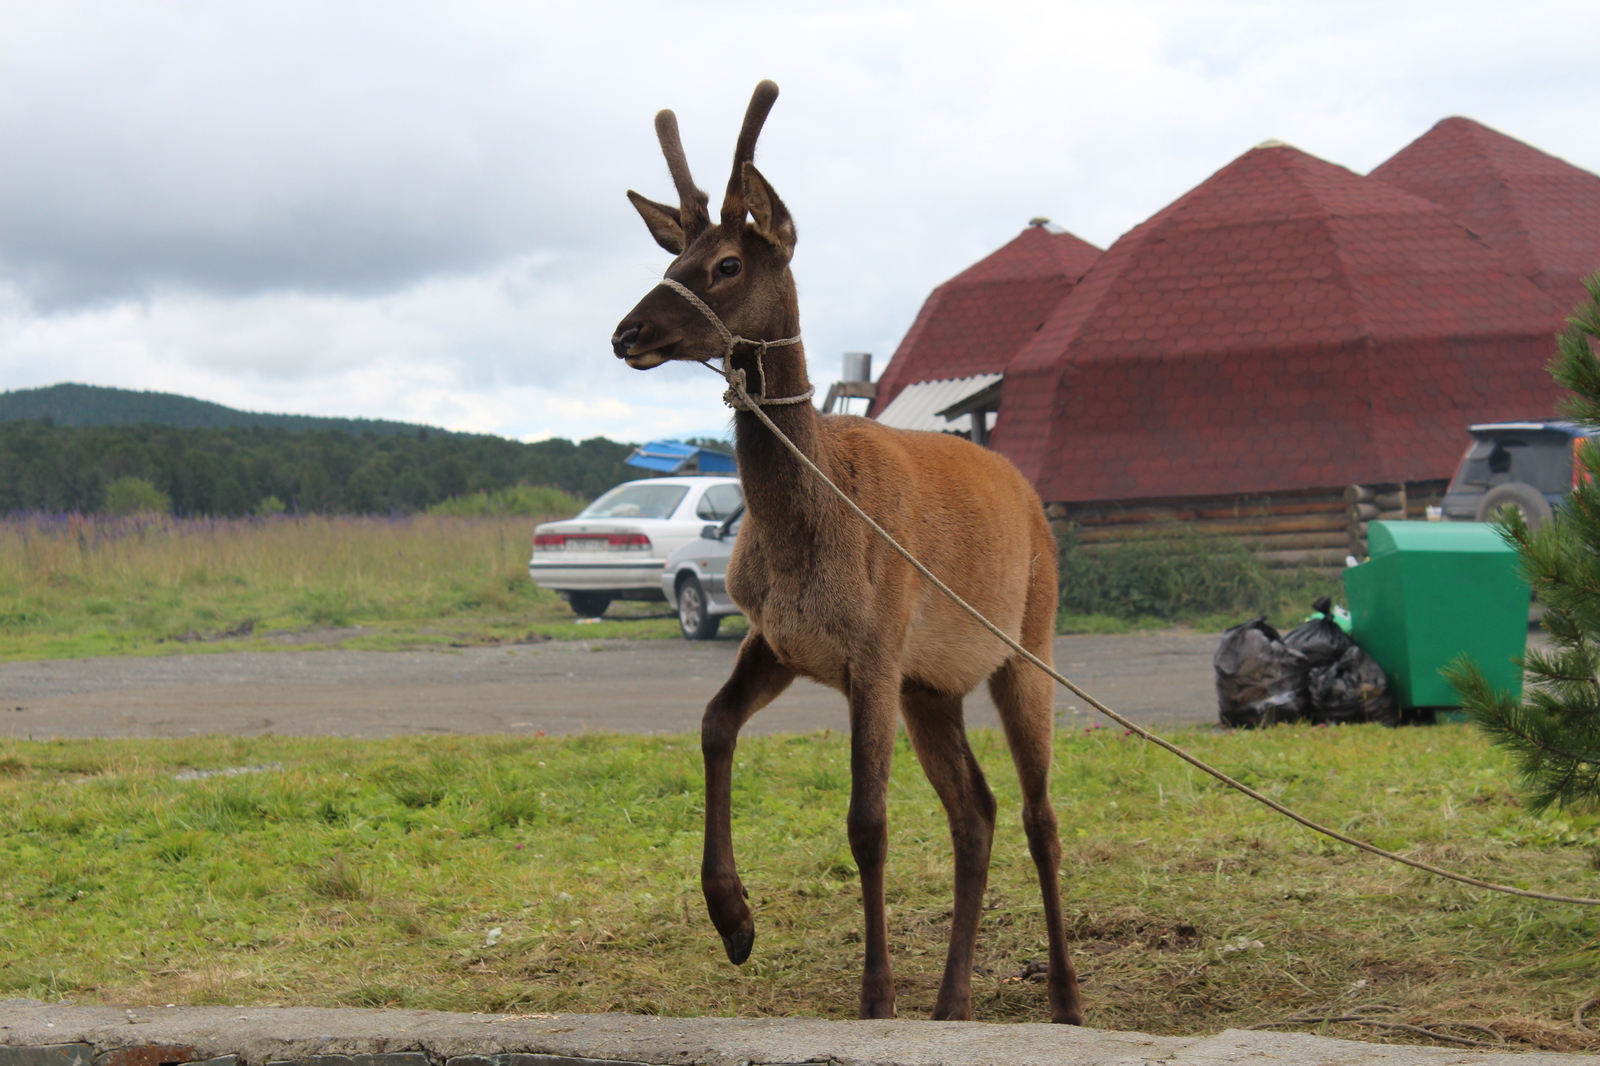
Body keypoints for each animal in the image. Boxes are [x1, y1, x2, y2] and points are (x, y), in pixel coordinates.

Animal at [604, 80, 1081, 1024]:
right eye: (673, 259)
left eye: (726, 265)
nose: (626, 332)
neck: (804, 537)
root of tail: (1019, 484)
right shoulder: (783, 639)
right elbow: (713, 723)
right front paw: (734, 919)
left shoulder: (876, 645)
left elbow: (867, 822)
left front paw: (875, 996)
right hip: (935, 686)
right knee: (978, 811)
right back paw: (952, 1002)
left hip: (1028, 645)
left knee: (1040, 816)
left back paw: (1066, 997)